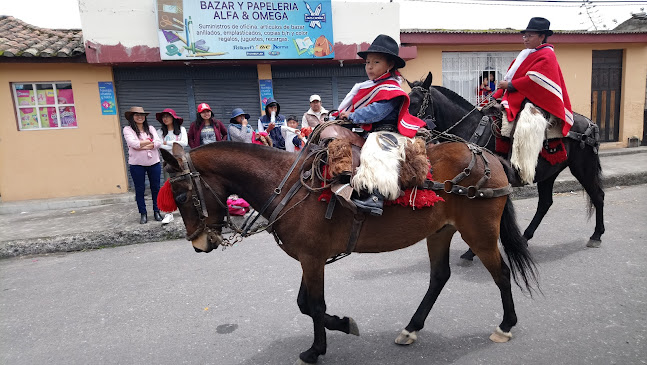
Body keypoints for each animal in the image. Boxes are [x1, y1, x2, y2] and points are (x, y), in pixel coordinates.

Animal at [161, 140, 536, 364]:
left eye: (180, 195)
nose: (199, 244)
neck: (287, 184)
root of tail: (488, 156)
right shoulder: (311, 258)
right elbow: (305, 304)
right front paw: (340, 325)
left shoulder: (313, 259)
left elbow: (314, 305)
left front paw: (318, 347)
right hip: (440, 232)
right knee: (439, 277)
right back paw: (411, 328)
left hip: (480, 234)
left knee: (502, 274)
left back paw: (506, 324)